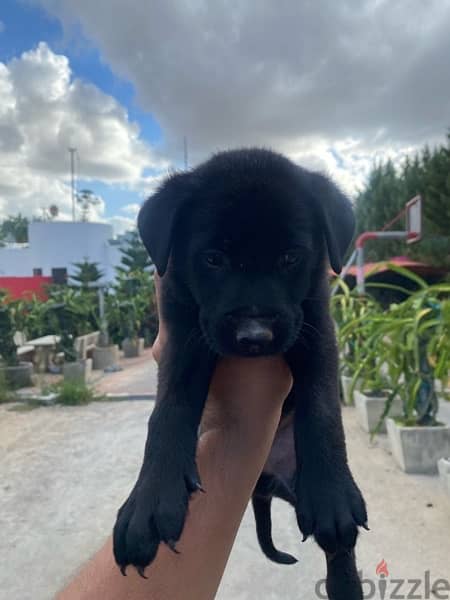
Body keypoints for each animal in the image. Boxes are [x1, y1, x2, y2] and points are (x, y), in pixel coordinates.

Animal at [111, 148, 366, 596]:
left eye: (290, 258)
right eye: (213, 259)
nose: (254, 336)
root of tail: (265, 480)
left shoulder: (317, 327)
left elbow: (322, 408)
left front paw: (332, 493)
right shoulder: (183, 334)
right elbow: (168, 410)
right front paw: (150, 500)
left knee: (340, 550)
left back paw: (345, 583)